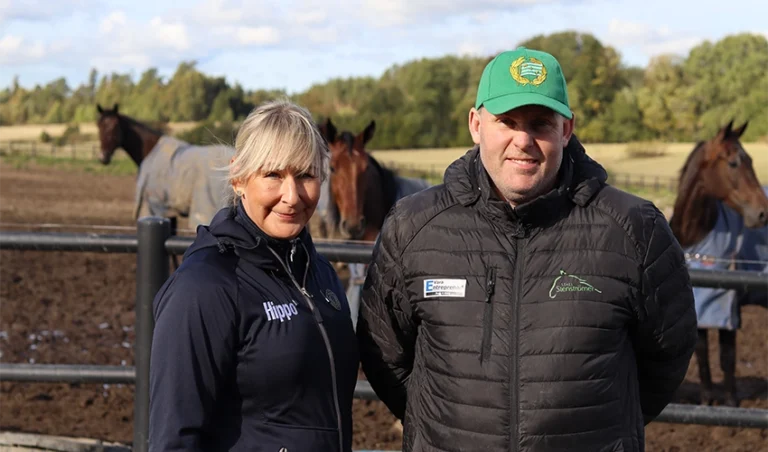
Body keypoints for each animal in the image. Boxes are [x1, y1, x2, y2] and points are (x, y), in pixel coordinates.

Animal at [96, 102, 234, 230]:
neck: (151, 150)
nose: (103, 157)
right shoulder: (169, 211)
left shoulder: (156, 208)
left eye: (114, 126)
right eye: (99, 126)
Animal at [668, 119, 768, 406]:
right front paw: (706, 400)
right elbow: (702, 354)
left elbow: (727, 358)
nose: (762, 212)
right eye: (733, 163)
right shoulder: (699, 306)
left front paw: (732, 402)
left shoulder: (728, 308)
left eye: (751, 160)